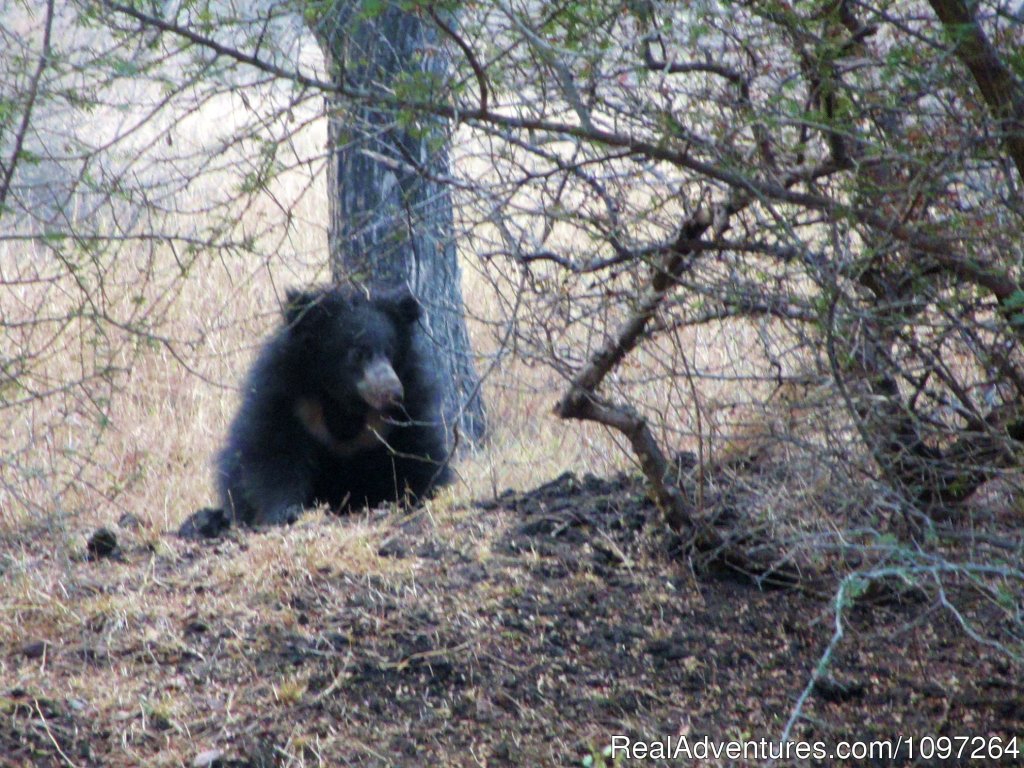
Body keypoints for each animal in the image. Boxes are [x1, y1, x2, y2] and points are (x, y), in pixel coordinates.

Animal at [218, 286, 450, 528]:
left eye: (390, 351)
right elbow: (273, 452)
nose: (393, 393)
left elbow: (418, 452)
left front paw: (416, 498)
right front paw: (286, 512)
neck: (344, 402)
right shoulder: (287, 399)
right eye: (357, 353)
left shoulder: (407, 406)